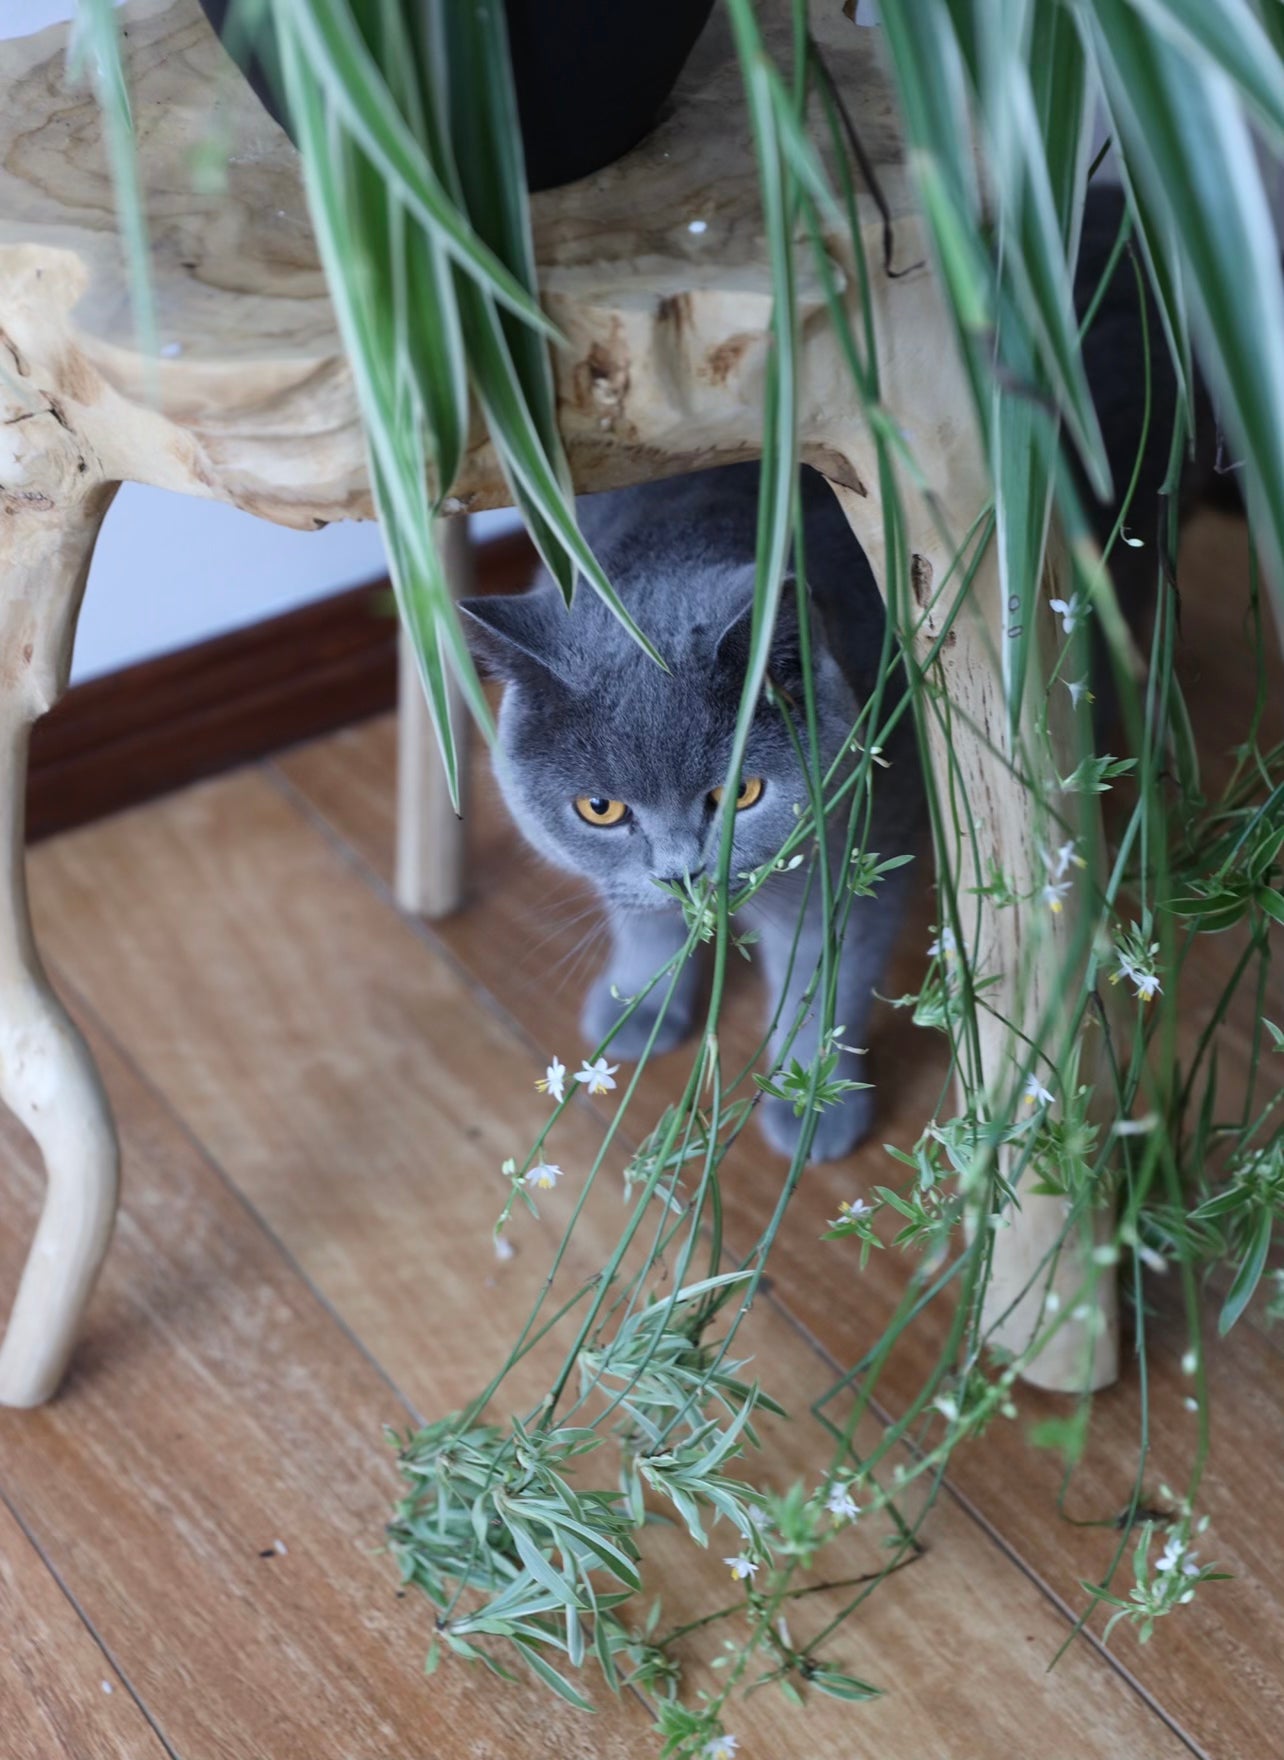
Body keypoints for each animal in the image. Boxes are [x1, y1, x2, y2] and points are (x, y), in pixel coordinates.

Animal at [457, 461, 907, 1161]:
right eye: (600, 809)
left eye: (740, 794)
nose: (682, 873)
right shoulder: (619, 879)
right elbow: (645, 925)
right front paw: (639, 1008)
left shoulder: (858, 851)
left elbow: (829, 979)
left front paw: (808, 1103)